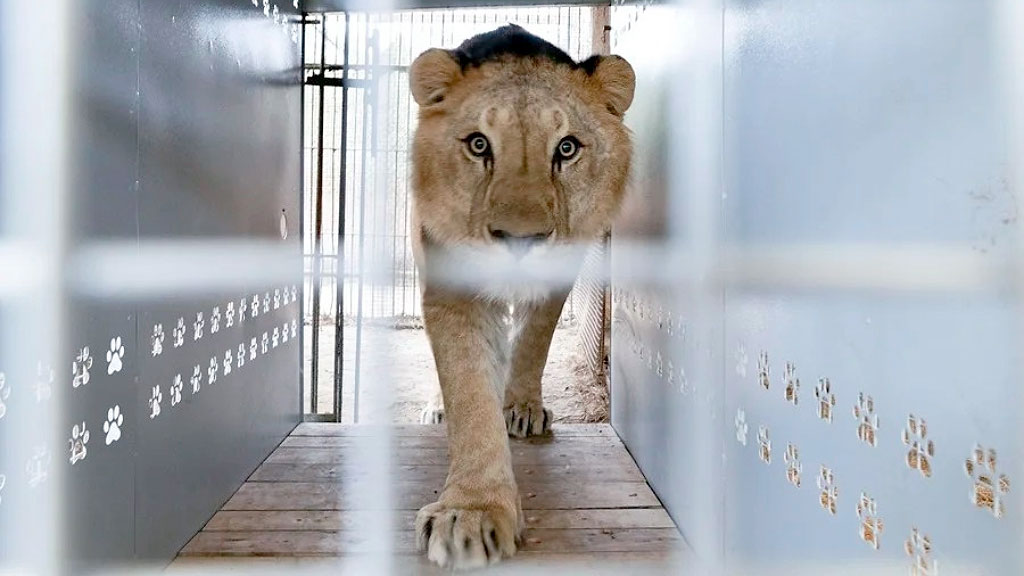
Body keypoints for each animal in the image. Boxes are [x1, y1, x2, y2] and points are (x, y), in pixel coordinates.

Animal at [407, 24, 634, 569]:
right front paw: (471, 513)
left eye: (567, 148)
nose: (519, 239)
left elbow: (533, 340)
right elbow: (468, 389)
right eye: (478, 144)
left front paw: (522, 407)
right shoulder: (451, 285)